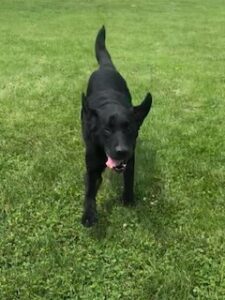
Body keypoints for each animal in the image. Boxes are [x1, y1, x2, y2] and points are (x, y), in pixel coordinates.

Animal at [80, 26, 152, 227]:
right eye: (106, 130)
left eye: (129, 129)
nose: (121, 151)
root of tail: (106, 67)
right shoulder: (92, 167)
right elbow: (90, 191)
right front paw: (89, 214)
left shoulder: (130, 160)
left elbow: (129, 180)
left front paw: (128, 200)